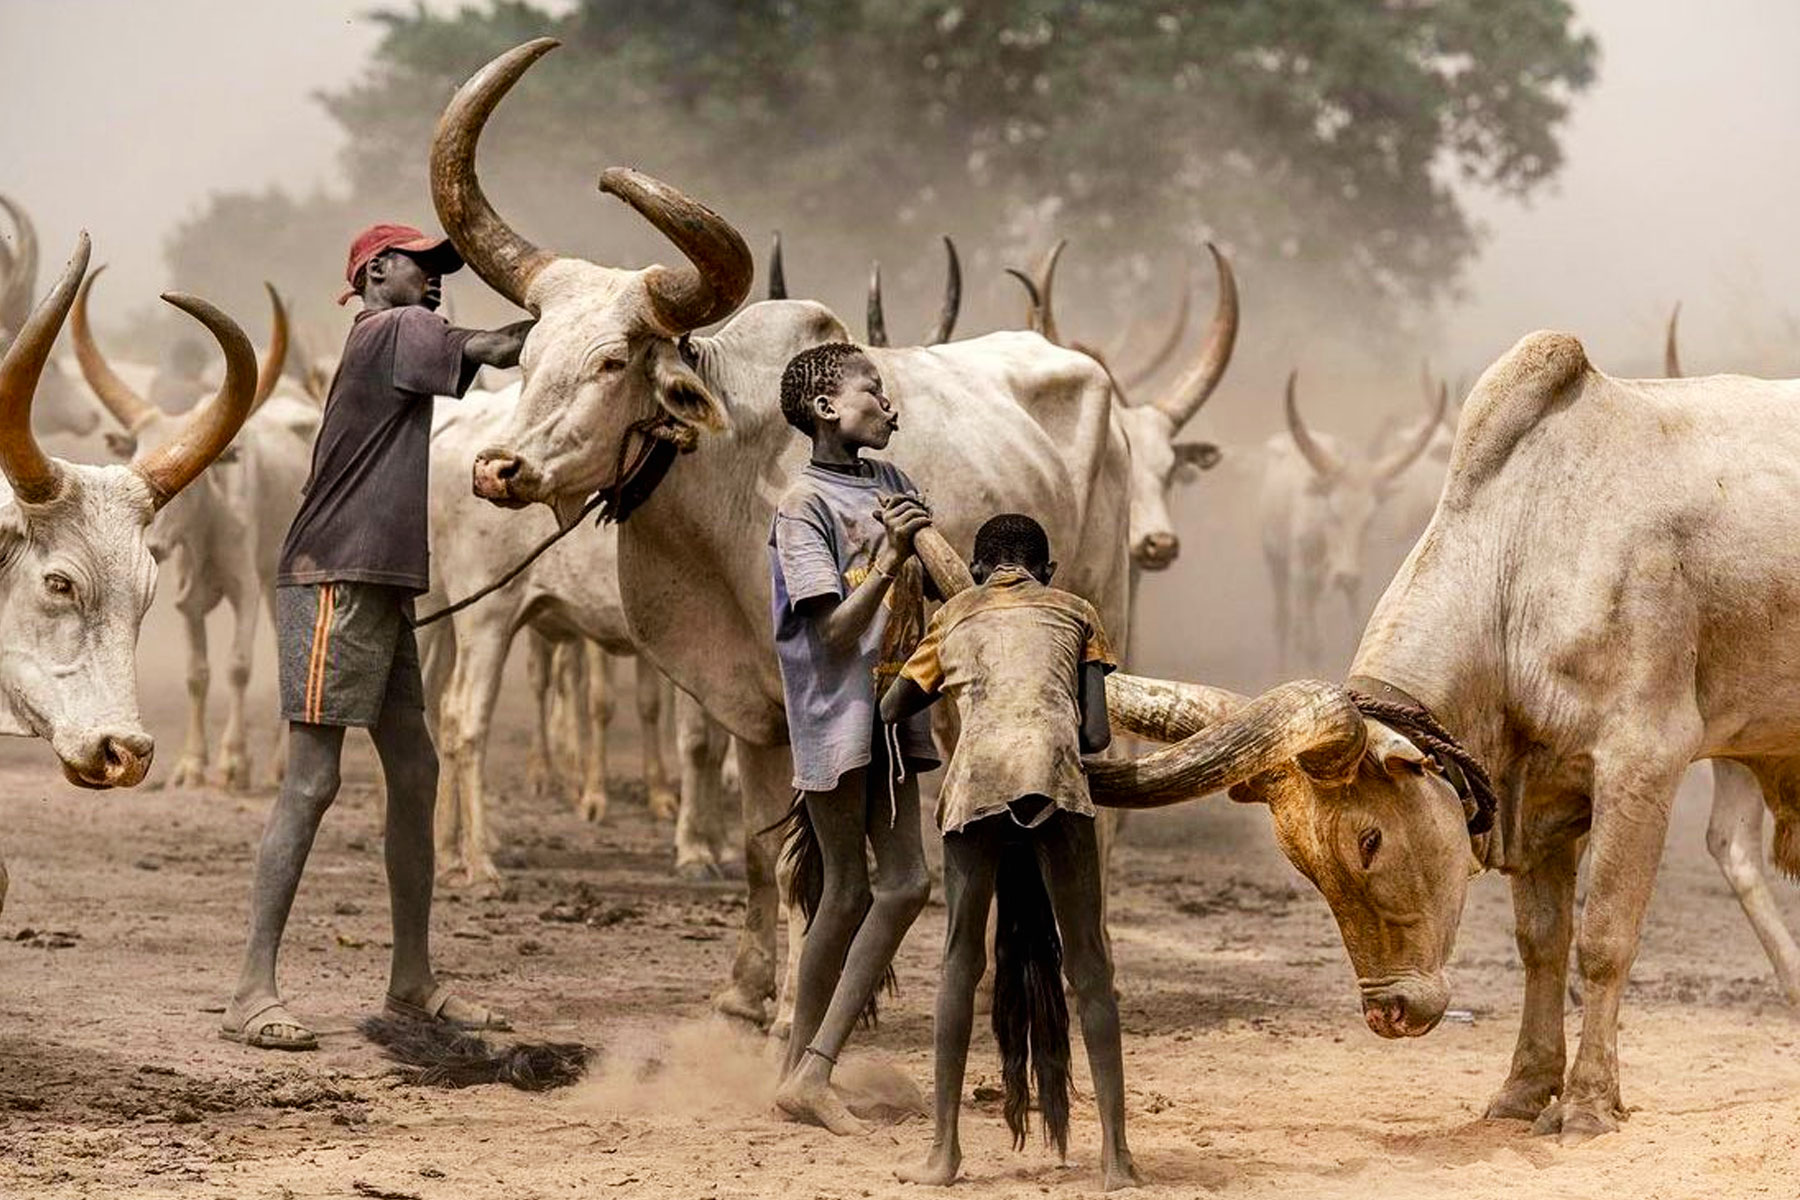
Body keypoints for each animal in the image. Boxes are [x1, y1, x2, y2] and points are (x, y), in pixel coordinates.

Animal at [72, 268, 318, 788]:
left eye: (192, 475)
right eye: (134, 456)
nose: (155, 541)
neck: (206, 531)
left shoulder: (246, 587)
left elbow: (238, 667)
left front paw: (233, 761)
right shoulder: (188, 601)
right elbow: (197, 673)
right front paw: (191, 763)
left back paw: (281, 764)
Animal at [430, 37, 1130, 1021]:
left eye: (612, 362)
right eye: (526, 356)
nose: (499, 468)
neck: (720, 497)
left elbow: (820, 861)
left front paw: (803, 1005)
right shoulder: (746, 709)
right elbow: (763, 849)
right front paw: (744, 991)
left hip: (1105, 608)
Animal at [1087, 329, 1800, 1144]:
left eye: (1369, 840)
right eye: (1302, 864)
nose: (1389, 1012)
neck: (1527, 555)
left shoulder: (1640, 765)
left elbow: (1602, 941)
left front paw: (1589, 1102)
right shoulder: (1543, 797)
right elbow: (1542, 944)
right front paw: (1525, 1088)